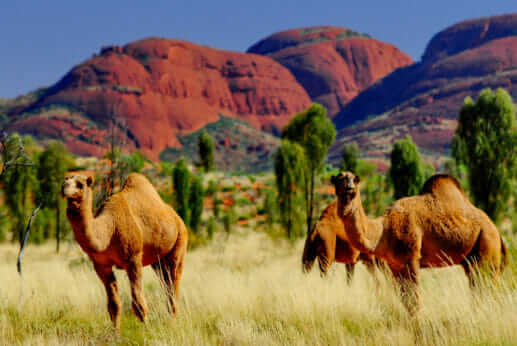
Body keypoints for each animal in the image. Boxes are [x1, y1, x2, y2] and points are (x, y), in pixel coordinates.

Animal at [62, 173, 187, 330]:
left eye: (80, 184)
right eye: (66, 180)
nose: (64, 188)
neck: (109, 228)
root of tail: (177, 217)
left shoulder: (133, 258)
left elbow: (138, 303)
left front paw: (146, 330)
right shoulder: (101, 265)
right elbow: (113, 305)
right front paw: (115, 333)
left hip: (180, 244)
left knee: (173, 286)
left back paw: (172, 325)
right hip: (158, 262)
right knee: (165, 284)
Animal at [332, 171, 506, 314]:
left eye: (355, 179)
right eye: (339, 179)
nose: (349, 187)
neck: (383, 231)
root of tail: (497, 232)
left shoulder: (411, 258)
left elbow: (414, 300)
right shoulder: (394, 265)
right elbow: (406, 301)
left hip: (487, 246)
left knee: (488, 287)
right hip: (471, 260)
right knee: (478, 288)